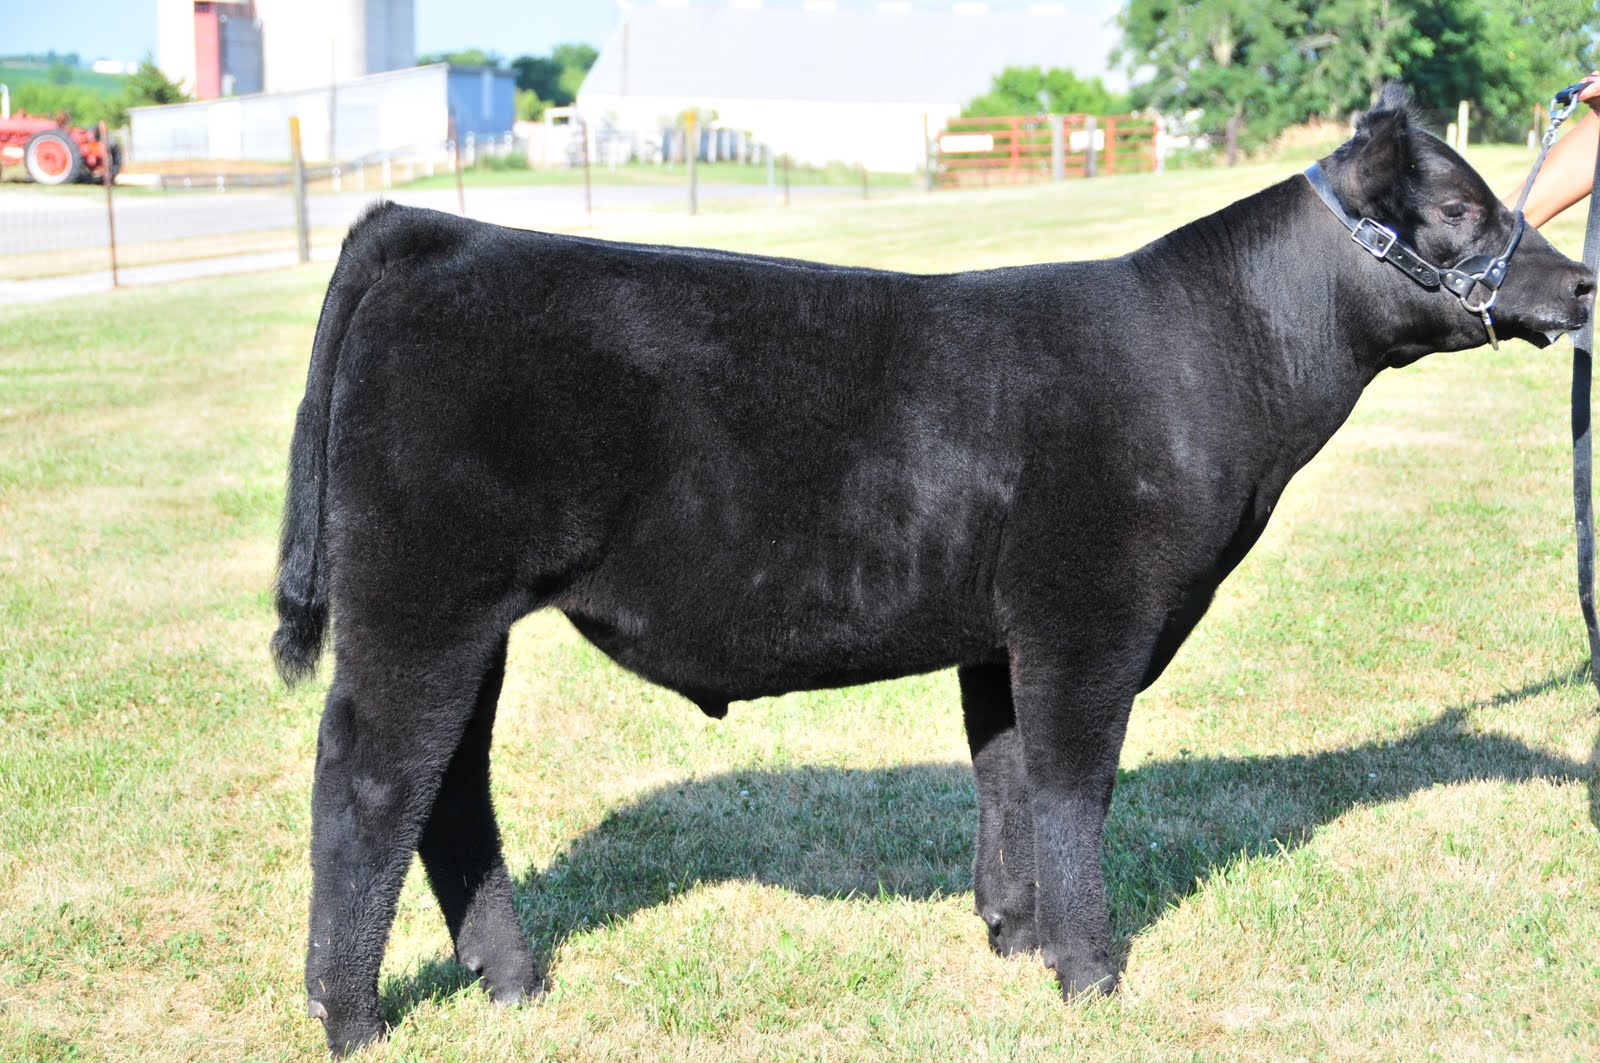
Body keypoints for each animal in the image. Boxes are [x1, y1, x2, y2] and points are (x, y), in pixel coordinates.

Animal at [274, 86, 1594, 1054]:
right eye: (1460, 207)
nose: (1581, 282)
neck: (1212, 357)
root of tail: (436, 231)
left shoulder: (1001, 634)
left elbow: (1004, 777)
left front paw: (1015, 936)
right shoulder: (1086, 615)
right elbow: (1072, 787)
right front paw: (1091, 972)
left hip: (468, 622)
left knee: (450, 790)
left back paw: (512, 981)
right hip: (421, 607)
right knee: (371, 789)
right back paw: (351, 1018)